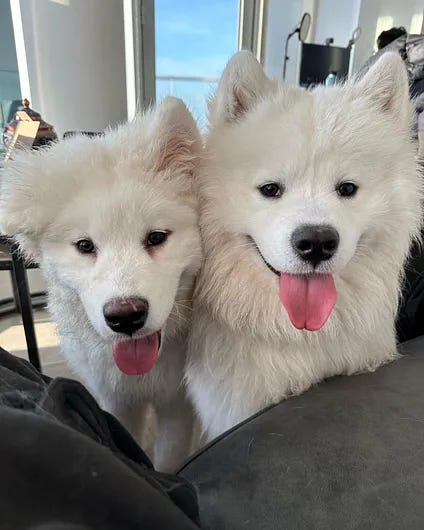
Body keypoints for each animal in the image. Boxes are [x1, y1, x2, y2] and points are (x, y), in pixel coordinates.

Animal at [0, 97, 202, 468]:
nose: (126, 316)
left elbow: (170, 458)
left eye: (156, 238)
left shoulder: (177, 405)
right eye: (85, 246)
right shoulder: (116, 398)